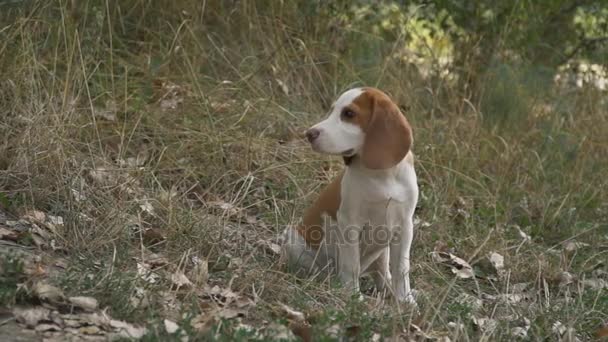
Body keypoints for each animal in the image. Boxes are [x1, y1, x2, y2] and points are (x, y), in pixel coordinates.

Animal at [284, 87, 418, 304]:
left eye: (349, 114)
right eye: (332, 111)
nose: (309, 134)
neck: (382, 176)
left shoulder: (404, 227)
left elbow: (401, 268)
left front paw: (405, 300)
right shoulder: (350, 224)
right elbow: (351, 264)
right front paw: (353, 296)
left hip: (382, 251)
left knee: (382, 271)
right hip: (292, 239)